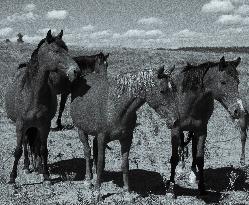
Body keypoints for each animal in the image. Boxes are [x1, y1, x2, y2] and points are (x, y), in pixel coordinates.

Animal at [4, 29, 80, 184]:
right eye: (56, 51)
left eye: (67, 49)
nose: (76, 71)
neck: (32, 94)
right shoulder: (20, 125)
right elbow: (18, 151)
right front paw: (12, 177)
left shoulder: (44, 125)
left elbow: (43, 150)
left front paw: (45, 175)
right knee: (25, 145)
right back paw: (26, 166)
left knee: (37, 145)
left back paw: (37, 166)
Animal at [156, 56, 243, 198]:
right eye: (223, 82)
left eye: (238, 82)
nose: (238, 111)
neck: (189, 99)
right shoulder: (175, 129)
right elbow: (174, 158)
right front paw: (170, 188)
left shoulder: (202, 131)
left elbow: (200, 158)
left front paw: (202, 188)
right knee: (182, 146)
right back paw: (181, 169)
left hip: (195, 130)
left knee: (192, 148)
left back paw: (192, 174)